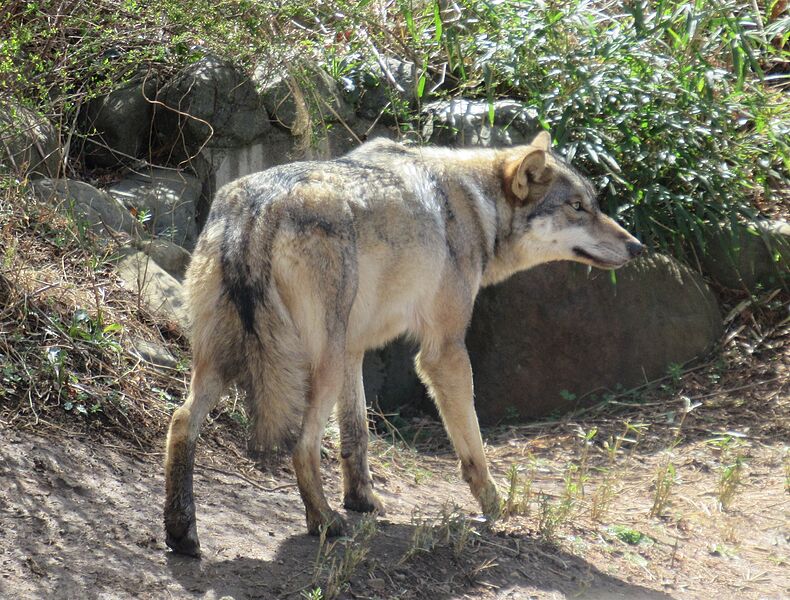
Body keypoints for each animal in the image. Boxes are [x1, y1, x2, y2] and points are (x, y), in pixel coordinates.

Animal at [163, 131, 644, 556]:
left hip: (233, 362)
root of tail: (259, 206)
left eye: (593, 205)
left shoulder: (356, 348)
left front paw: (362, 501)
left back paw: (182, 533)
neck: (478, 206)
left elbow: (357, 434)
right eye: (577, 208)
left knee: (182, 421)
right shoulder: (443, 351)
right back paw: (324, 523)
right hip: (317, 365)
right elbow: (473, 445)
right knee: (301, 445)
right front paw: (495, 505)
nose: (637, 247)